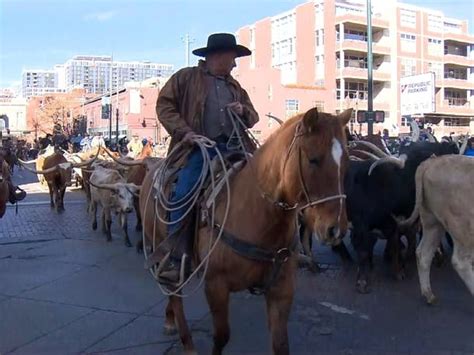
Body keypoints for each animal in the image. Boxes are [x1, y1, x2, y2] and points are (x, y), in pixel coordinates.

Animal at [140, 108, 352, 355]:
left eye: (346, 161)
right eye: (313, 159)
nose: (335, 229)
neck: (257, 215)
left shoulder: (282, 289)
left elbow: (281, 344)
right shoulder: (216, 286)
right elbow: (221, 337)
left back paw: (169, 319)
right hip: (160, 246)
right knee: (174, 290)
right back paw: (187, 342)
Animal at [400, 156, 474, 306]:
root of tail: (433, 161)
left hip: (433, 223)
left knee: (423, 254)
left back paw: (429, 295)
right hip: (463, 229)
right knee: (461, 262)